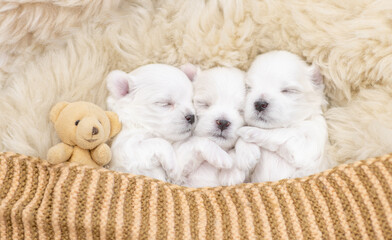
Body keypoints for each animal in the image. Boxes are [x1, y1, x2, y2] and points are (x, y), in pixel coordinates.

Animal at [237, 50, 330, 182]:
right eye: (249, 88)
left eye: (288, 90)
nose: (260, 104)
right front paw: (245, 152)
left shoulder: (308, 143)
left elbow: (281, 133)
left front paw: (246, 131)